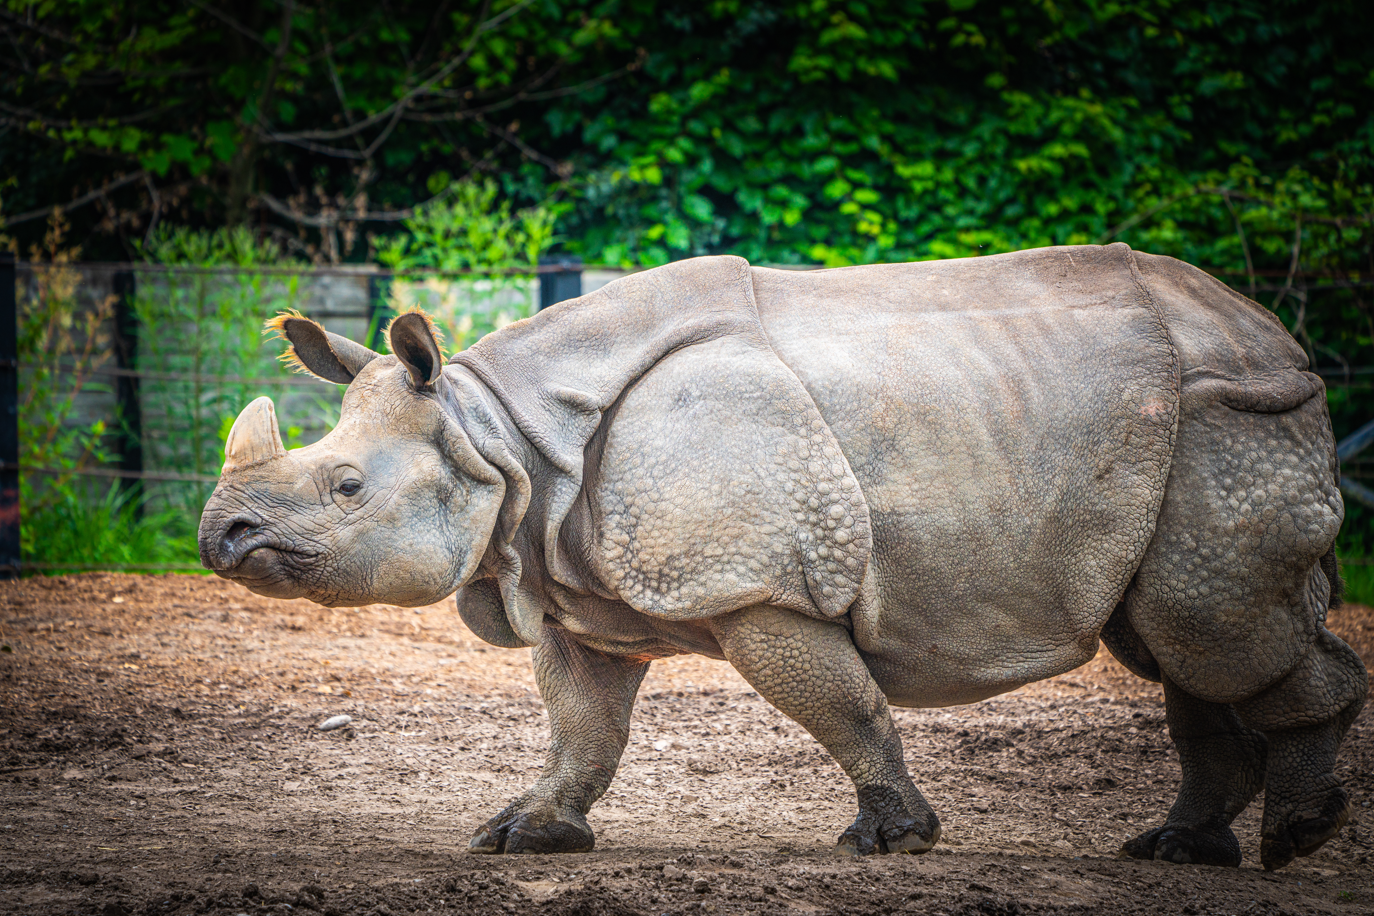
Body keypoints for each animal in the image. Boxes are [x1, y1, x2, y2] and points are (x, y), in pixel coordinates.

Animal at [199, 245, 1367, 870]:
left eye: (346, 489)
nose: (220, 537)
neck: (501, 435)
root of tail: (1280, 337)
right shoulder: (565, 582)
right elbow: (583, 726)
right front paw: (523, 835)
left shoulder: (759, 587)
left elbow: (840, 703)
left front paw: (892, 840)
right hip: (1187, 423)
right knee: (1175, 643)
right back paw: (1181, 851)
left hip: (1229, 416)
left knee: (1207, 631)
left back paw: (1298, 838)